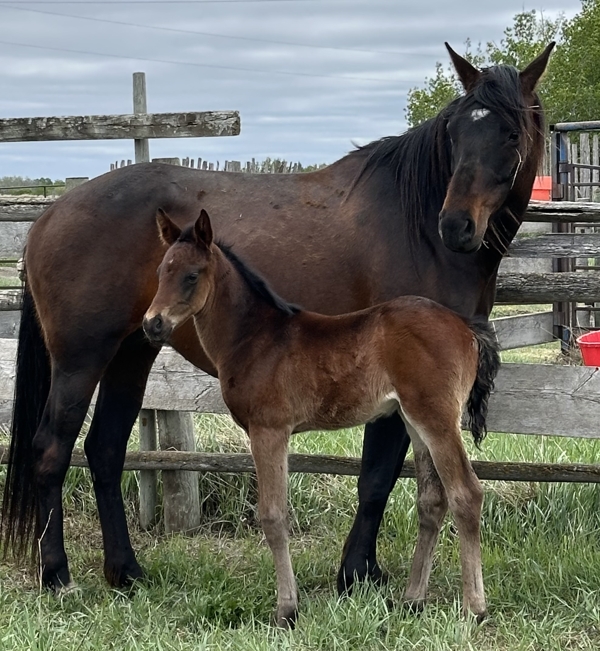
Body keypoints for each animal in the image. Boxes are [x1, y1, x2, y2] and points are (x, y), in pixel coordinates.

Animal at [143, 207, 500, 625]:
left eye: (192, 275)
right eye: (161, 272)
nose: (152, 324)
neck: (256, 338)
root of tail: (466, 327)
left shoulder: (268, 429)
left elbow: (273, 516)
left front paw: (287, 610)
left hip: (437, 418)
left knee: (466, 493)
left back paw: (475, 607)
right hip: (413, 421)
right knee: (432, 500)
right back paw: (412, 599)